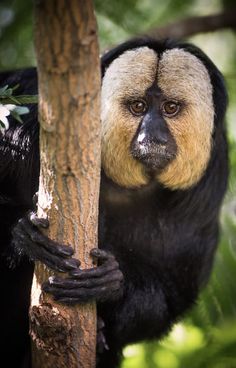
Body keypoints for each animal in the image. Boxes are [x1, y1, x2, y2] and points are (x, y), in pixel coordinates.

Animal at [0, 38, 229, 368]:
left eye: (170, 108)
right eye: (138, 107)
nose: (152, 137)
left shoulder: (206, 193)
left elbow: (170, 294)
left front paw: (109, 282)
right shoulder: (24, 130)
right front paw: (26, 235)